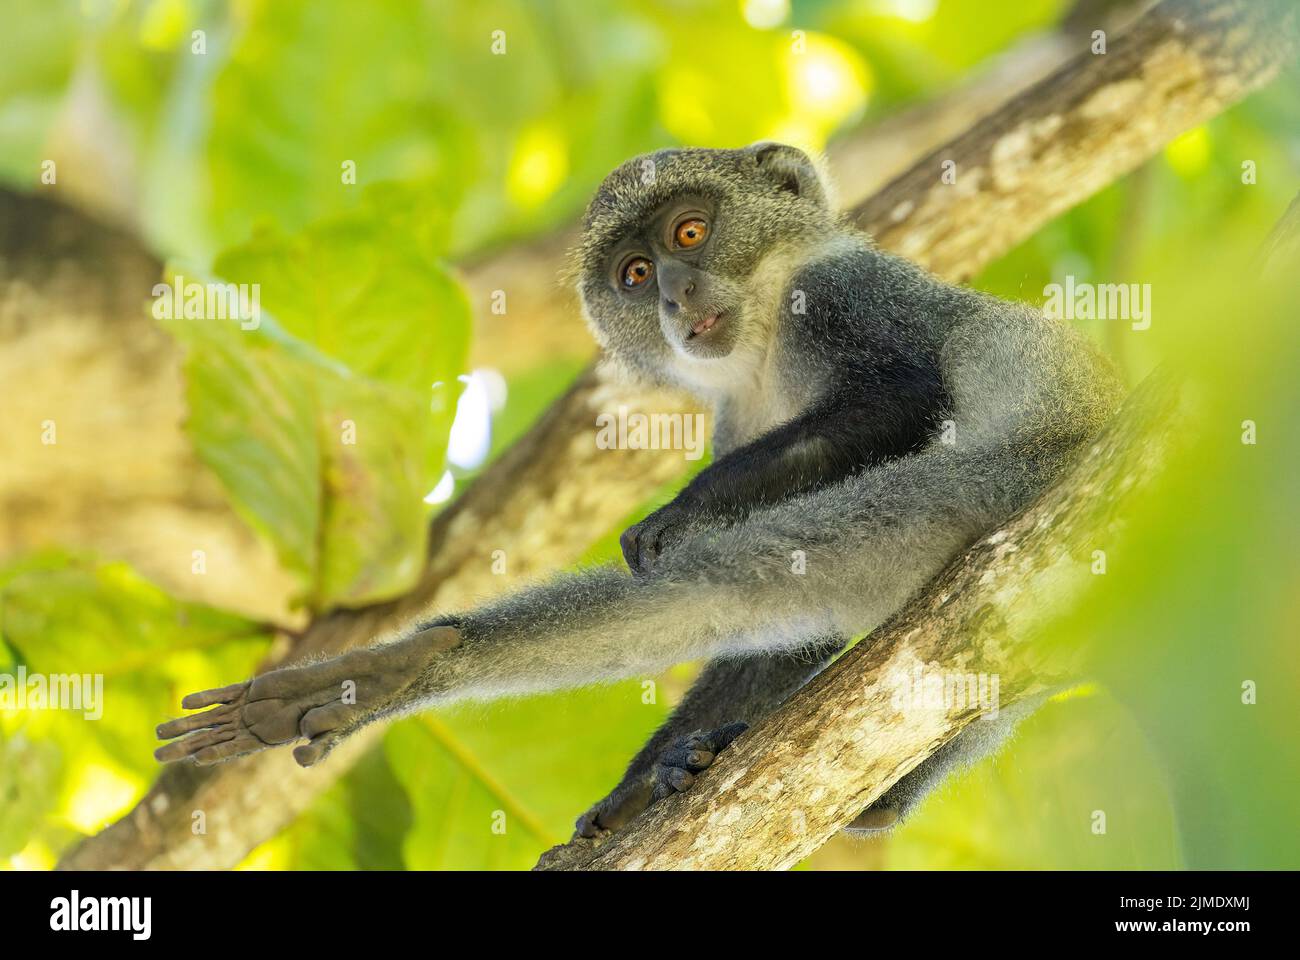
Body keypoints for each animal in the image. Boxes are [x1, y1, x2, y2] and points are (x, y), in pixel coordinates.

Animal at [152, 140, 1123, 837]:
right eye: (634, 275)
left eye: (689, 234)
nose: (676, 296)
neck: (763, 345)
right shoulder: (738, 411)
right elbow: (791, 638)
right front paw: (643, 785)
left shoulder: (846, 292)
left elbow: (907, 395)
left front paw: (684, 509)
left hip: (1012, 479)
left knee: (722, 581)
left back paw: (414, 661)